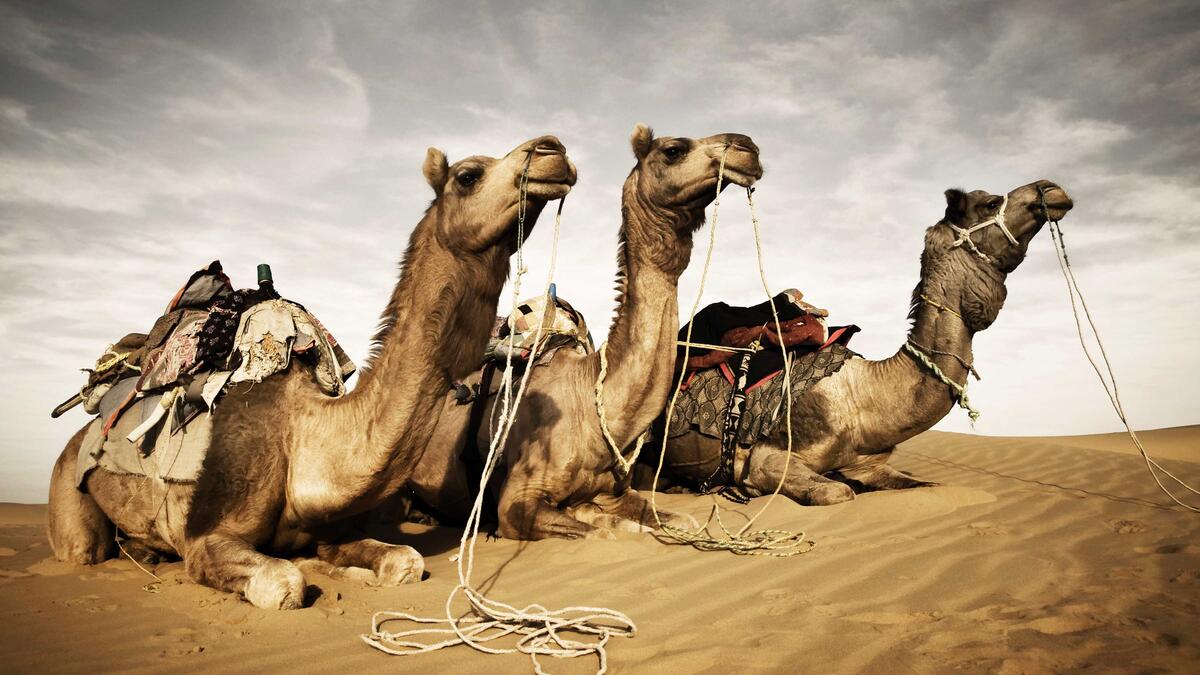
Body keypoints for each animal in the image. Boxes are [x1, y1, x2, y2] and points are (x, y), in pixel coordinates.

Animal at [46, 135, 577, 608]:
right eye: (468, 175)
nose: (553, 150)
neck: (302, 436)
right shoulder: (206, 539)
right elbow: (284, 582)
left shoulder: (328, 529)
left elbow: (403, 561)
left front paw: (342, 570)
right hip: (69, 496)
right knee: (85, 548)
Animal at [406, 124, 762, 539]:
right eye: (673, 150)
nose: (747, 147)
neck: (592, 405)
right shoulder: (516, 501)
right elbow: (605, 532)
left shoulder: (615, 490)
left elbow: (673, 520)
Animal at [658, 180, 1074, 505]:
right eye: (990, 202)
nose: (1051, 189)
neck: (862, 397)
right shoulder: (766, 457)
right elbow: (837, 491)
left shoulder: (869, 463)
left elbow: (931, 486)